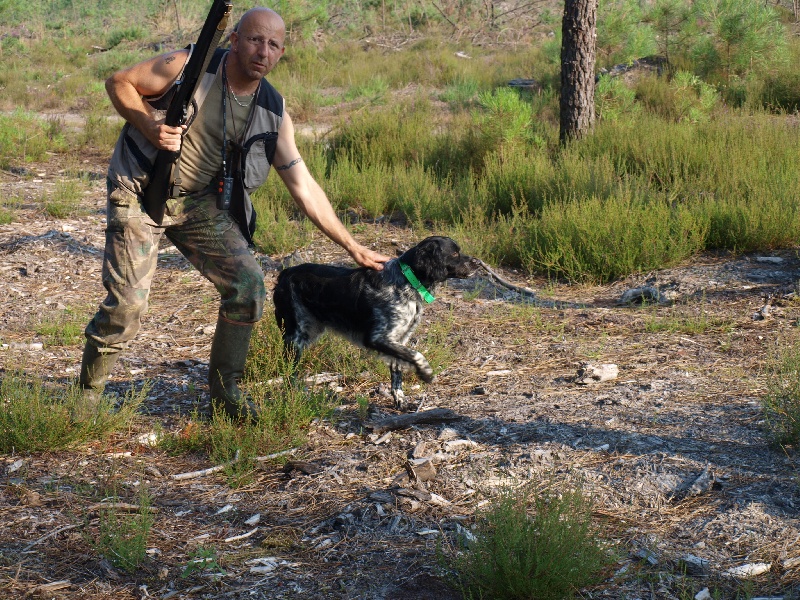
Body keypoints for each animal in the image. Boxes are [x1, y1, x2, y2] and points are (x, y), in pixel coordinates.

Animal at [272, 237, 478, 410]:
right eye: (454, 254)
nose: (477, 262)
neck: (406, 281)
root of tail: (285, 273)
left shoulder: (398, 340)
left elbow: (398, 372)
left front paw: (400, 401)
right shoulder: (377, 338)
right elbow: (416, 354)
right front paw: (426, 372)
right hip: (296, 336)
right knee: (289, 370)